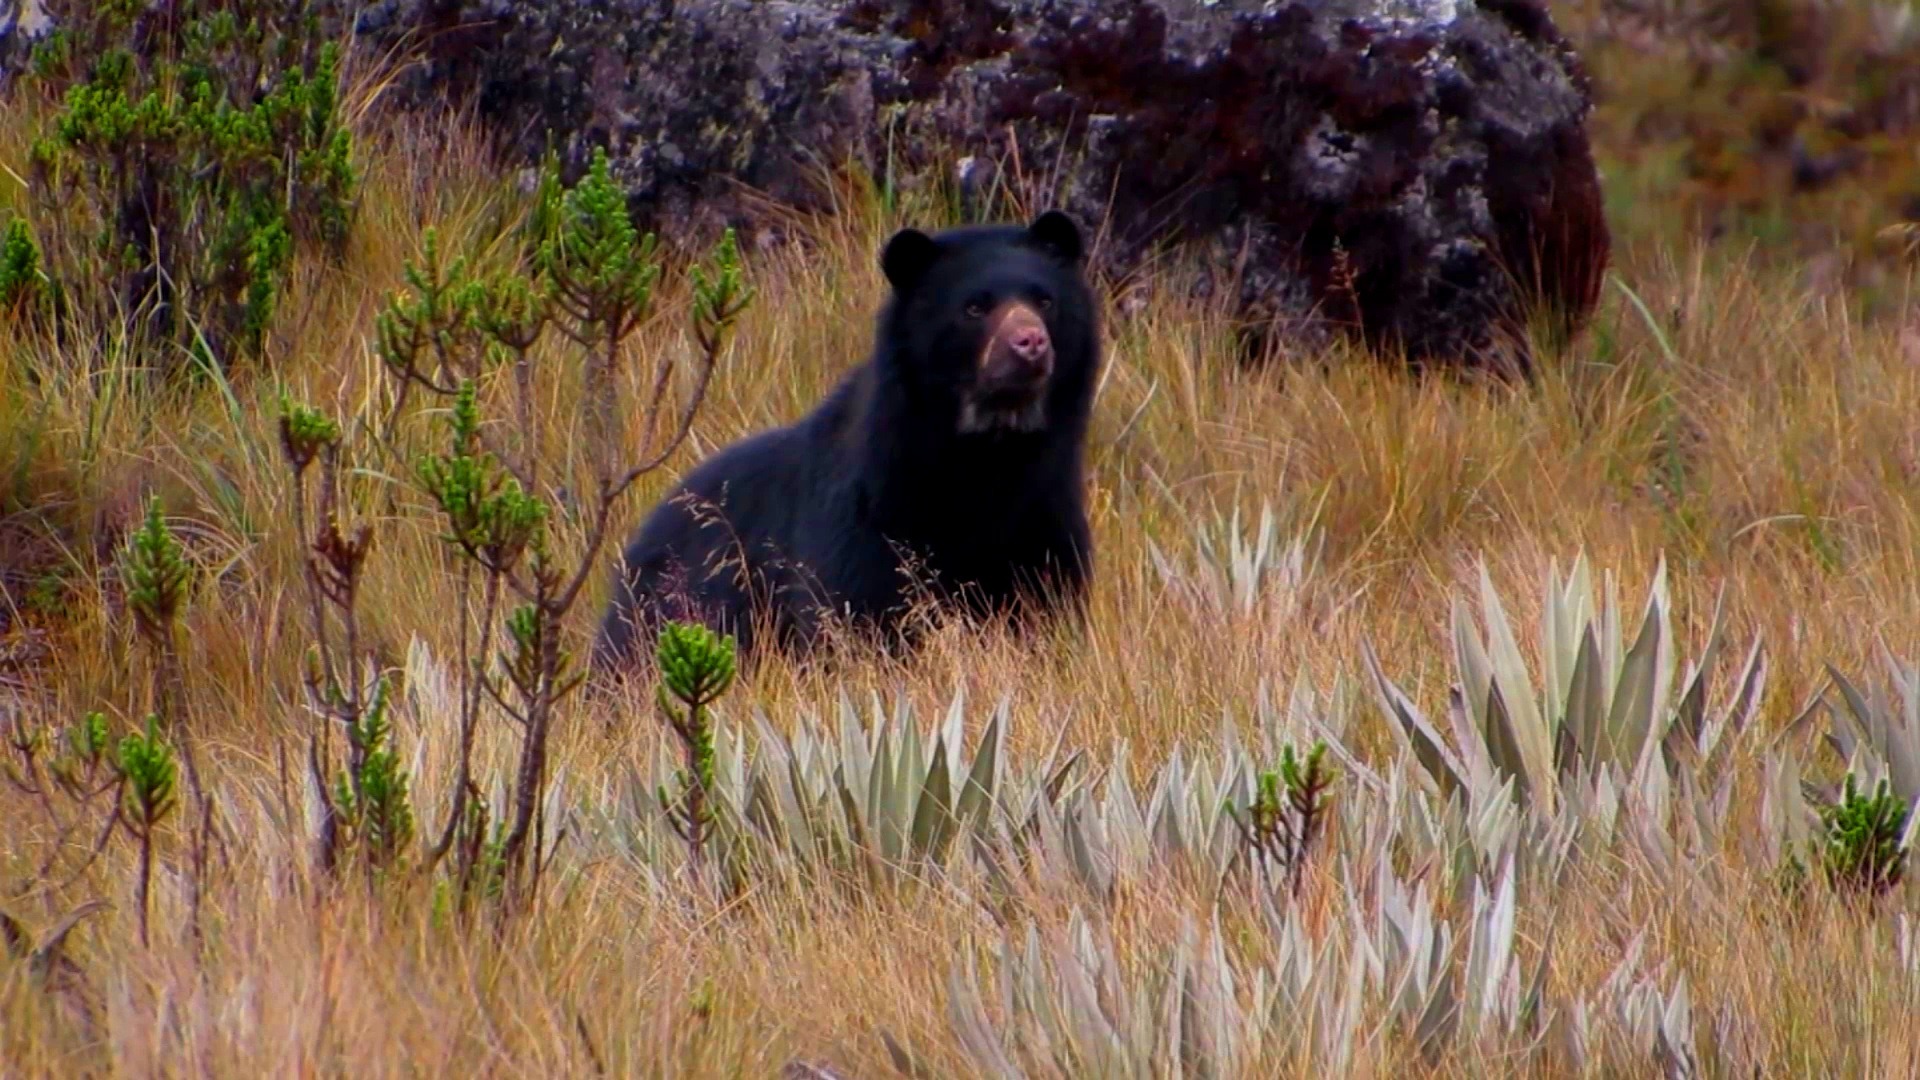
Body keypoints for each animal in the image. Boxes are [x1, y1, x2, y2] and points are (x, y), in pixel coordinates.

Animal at [591, 205, 1105, 668]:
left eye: (1045, 301)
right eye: (975, 307)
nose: (1030, 343)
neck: (988, 454)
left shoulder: (1043, 517)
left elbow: (1044, 607)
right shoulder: (870, 520)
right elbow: (854, 613)